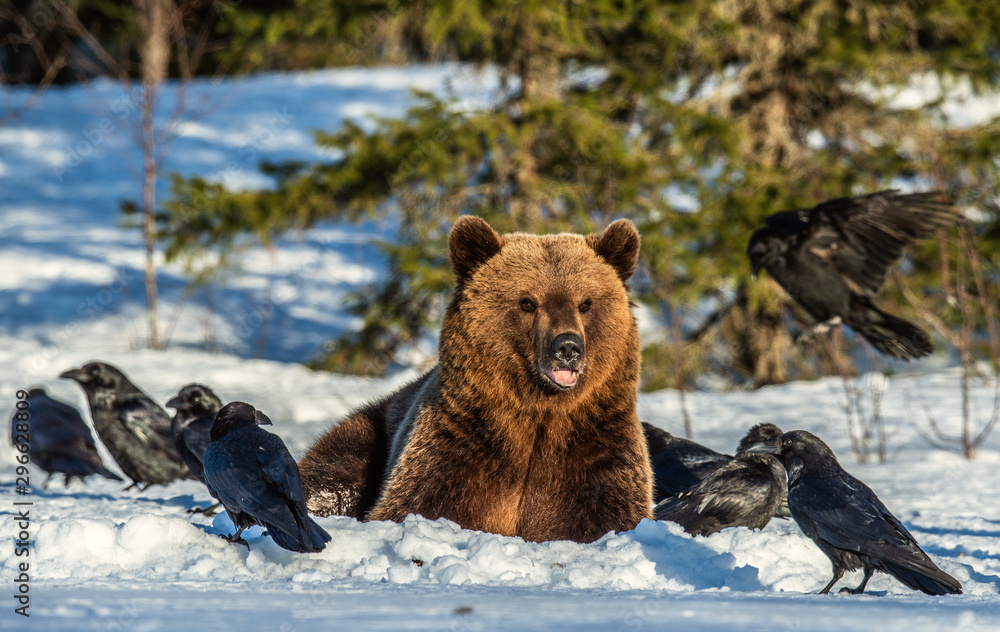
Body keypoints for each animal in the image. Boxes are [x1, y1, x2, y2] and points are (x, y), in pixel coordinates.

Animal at [298, 216, 652, 543]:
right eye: (528, 302)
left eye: (585, 302)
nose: (567, 346)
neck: (538, 412)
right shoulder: (459, 449)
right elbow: (416, 503)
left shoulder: (594, 453)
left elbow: (606, 515)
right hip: (370, 431)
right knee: (330, 479)